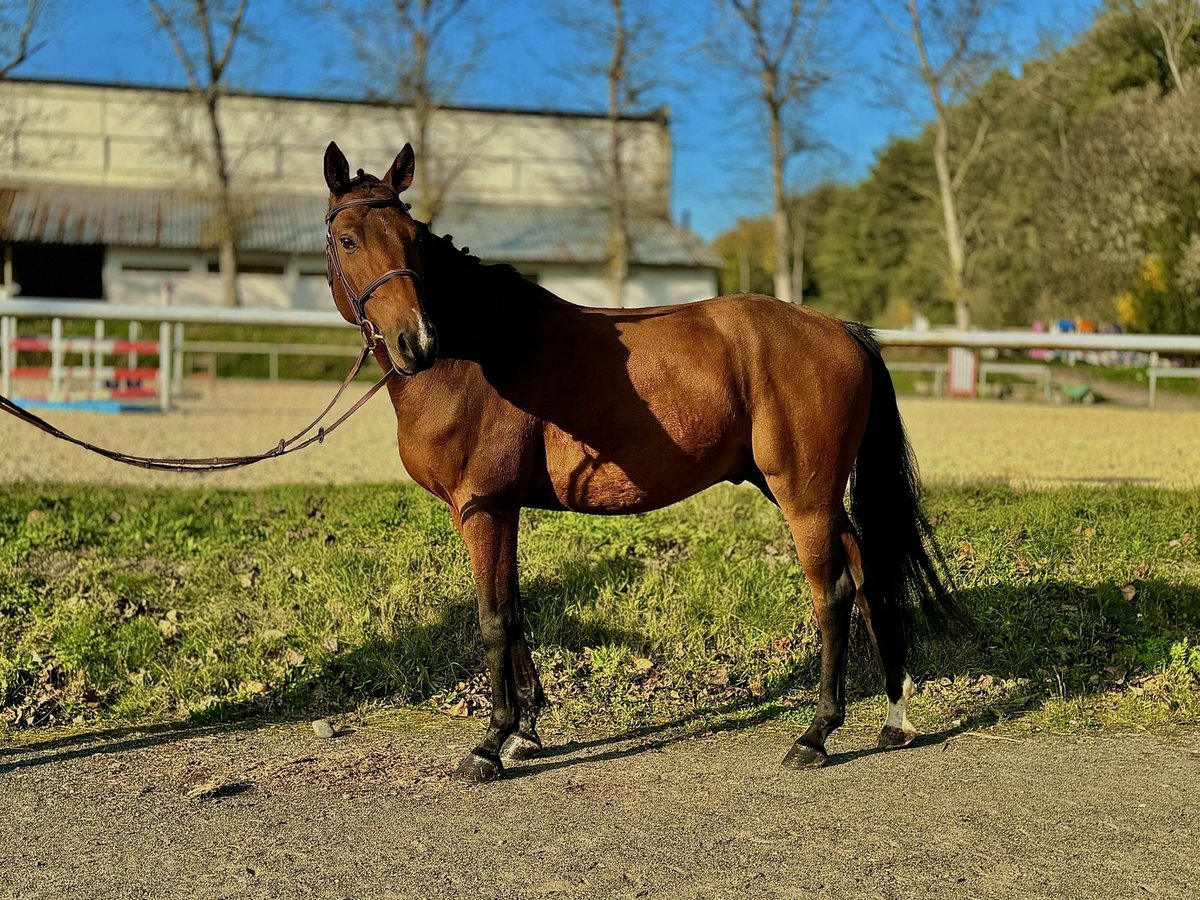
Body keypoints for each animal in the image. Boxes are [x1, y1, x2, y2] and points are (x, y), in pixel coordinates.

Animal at [319, 141, 955, 782]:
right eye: (348, 239)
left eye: (412, 239)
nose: (416, 342)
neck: (481, 351)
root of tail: (840, 330)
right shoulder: (499, 512)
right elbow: (515, 611)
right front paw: (525, 733)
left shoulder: (485, 508)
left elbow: (494, 618)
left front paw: (491, 743)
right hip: (813, 496)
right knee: (868, 574)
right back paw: (894, 718)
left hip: (803, 497)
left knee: (834, 592)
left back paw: (816, 734)